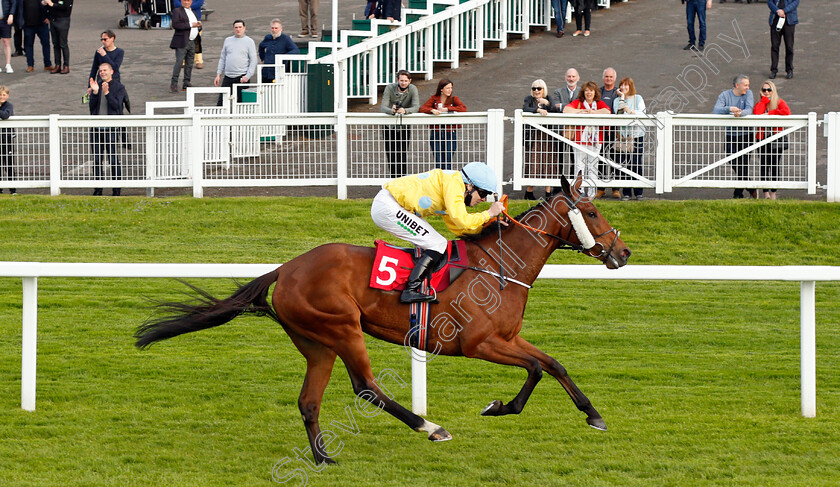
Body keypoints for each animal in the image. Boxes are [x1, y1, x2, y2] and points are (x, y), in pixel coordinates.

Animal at [133, 174, 632, 466]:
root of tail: (286, 269)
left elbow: (552, 364)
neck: (498, 266)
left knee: (309, 401)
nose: (624, 253)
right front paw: (500, 406)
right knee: (367, 388)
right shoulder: (480, 344)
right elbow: (534, 370)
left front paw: (593, 415)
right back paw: (431, 428)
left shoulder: (509, 337)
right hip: (342, 328)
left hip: (316, 343)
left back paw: (322, 458)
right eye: (591, 212)